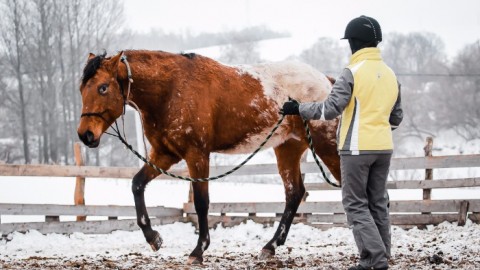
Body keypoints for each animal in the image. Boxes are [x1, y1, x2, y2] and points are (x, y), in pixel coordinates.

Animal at [77, 49, 342, 264]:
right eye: (82, 89)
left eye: (103, 87)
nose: (85, 135)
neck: (171, 90)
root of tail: (326, 82)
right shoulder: (165, 154)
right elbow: (137, 184)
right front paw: (153, 238)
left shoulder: (197, 155)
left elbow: (201, 203)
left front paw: (198, 250)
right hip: (288, 149)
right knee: (294, 193)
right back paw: (270, 246)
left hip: (326, 147)